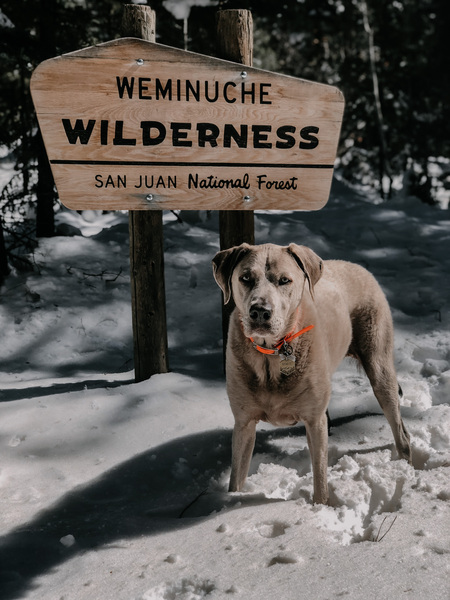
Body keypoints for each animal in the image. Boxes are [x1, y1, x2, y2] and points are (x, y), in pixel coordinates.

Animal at [213, 241, 414, 504]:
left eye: (284, 280)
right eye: (245, 278)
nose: (260, 312)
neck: (271, 354)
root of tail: (359, 267)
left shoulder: (313, 419)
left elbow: (320, 476)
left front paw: (320, 506)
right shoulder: (243, 422)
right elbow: (236, 476)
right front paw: (231, 501)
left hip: (379, 360)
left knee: (400, 430)